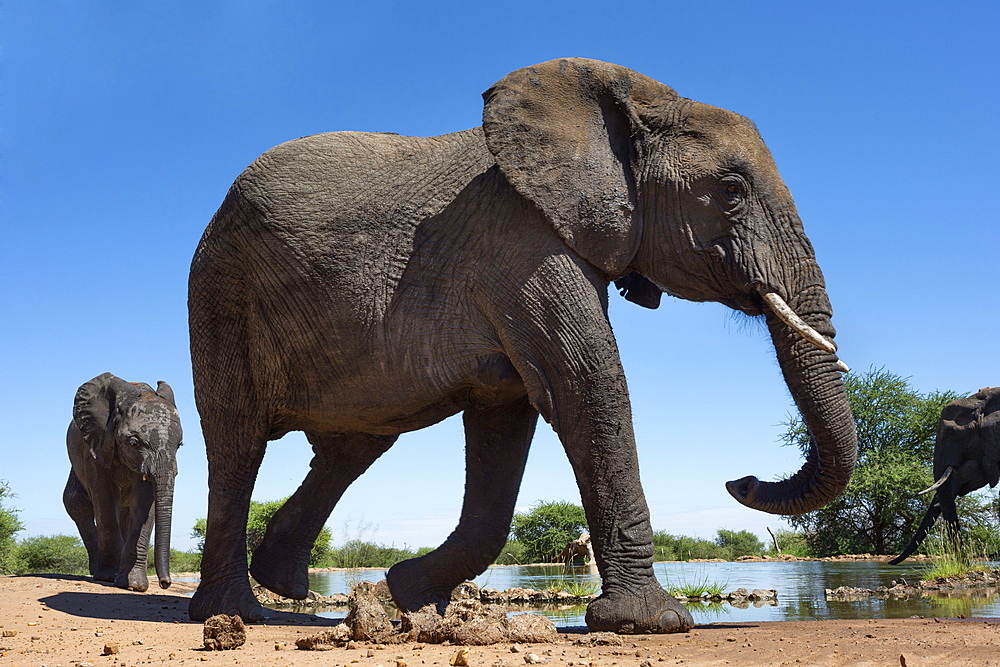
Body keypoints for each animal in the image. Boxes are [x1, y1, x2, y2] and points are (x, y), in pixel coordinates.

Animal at [64, 374, 184, 592]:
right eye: (134, 442)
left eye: (179, 445)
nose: (165, 583)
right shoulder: (96, 444)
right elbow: (102, 498)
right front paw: (108, 577)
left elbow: (144, 503)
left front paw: (134, 585)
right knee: (76, 503)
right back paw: (97, 571)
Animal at [189, 56, 860, 632]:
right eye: (731, 189)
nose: (739, 481)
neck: (628, 106)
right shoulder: (519, 245)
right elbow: (587, 388)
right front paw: (651, 622)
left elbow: (507, 417)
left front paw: (412, 596)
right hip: (220, 290)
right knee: (236, 442)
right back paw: (233, 613)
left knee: (353, 446)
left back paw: (284, 583)